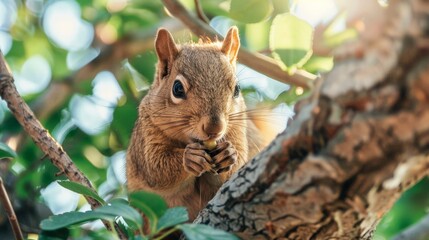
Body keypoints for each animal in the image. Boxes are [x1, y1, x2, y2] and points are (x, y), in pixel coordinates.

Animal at [125, 27, 270, 220]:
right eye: (177, 88)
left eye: (237, 89)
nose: (215, 128)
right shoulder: (148, 134)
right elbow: (156, 168)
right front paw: (190, 158)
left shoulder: (238, 130)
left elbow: (235, 167)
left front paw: (228, 154)